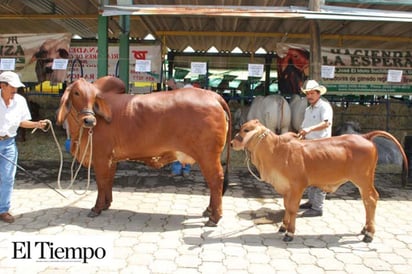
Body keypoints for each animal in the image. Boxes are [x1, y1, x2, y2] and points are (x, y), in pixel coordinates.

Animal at [56, 76, 232, 226]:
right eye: (76, 93)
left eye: (93, 96)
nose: (89, 120)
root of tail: (213, 96)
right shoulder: (111, 159)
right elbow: (109, 181)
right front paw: (107, 204)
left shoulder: (101, 158)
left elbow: (101, 182)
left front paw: (97, 208)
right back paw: (209, 211)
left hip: (208, 156)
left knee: (216, 181)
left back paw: (214, 217)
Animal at [232, 120, 408, 242]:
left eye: (246, 130)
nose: (232, 142)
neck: (277, 151)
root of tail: (365, 136)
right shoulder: (286, 188)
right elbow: (286, 207)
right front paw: (283, 226)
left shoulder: (297, 186)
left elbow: (292, 208)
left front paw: (290, 232)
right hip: (362, 182)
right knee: (367, 201)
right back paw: (365, 229)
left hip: (363, 179)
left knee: (371, 199)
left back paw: (369, 234)